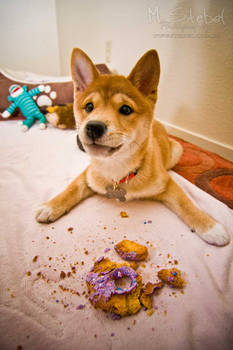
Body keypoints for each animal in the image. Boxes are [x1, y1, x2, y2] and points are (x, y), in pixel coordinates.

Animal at [35, 48, 230, 246]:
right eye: (89, 106)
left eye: (126, 109)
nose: (93, 127)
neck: (116, 171)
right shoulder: (89, 175)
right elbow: (72, 188)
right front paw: (51, 206)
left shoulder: (166, 183)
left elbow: (185, 203)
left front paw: (210, 227)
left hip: (177, 150)